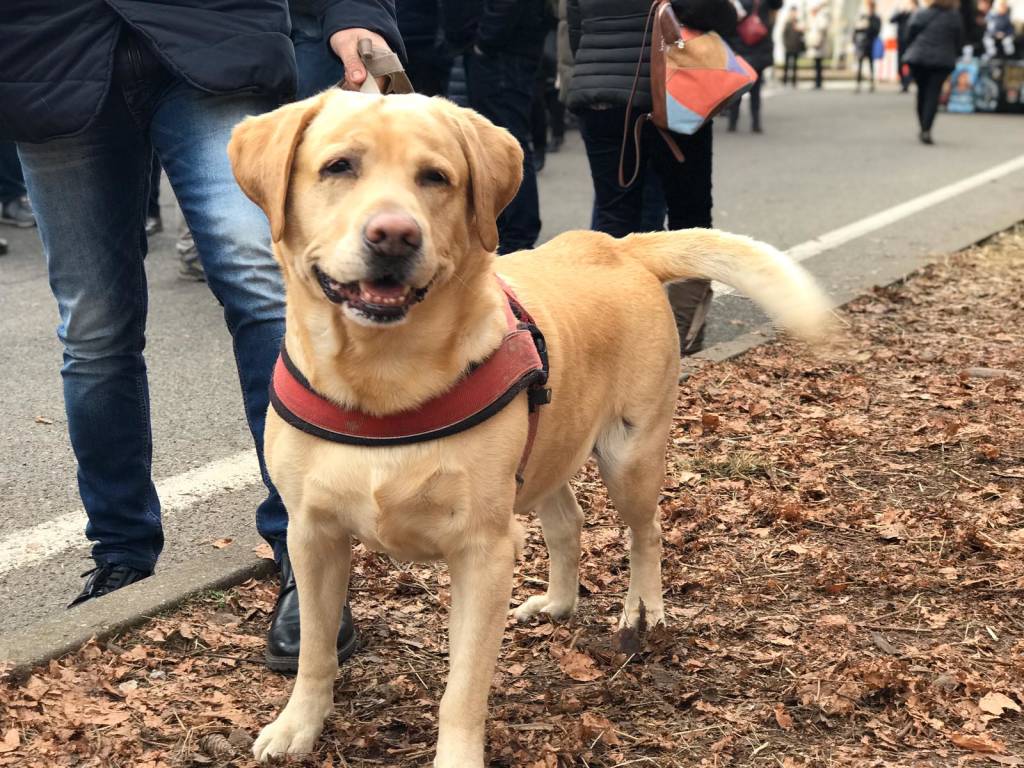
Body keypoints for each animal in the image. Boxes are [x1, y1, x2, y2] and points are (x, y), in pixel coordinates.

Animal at [226, 87, 831, 765]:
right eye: (338, 167)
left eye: (435, 177)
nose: (394, 235)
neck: (384, 381)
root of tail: (619, 245)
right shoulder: (312, 535)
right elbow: (314, 650)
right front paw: (298, 725)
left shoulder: (483, 552)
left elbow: (463, 686)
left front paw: (457, 757)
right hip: (545, 454)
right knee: (569, 522)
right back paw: (560, 603)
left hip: (630, 458)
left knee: (645, 533)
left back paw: (643, 612)